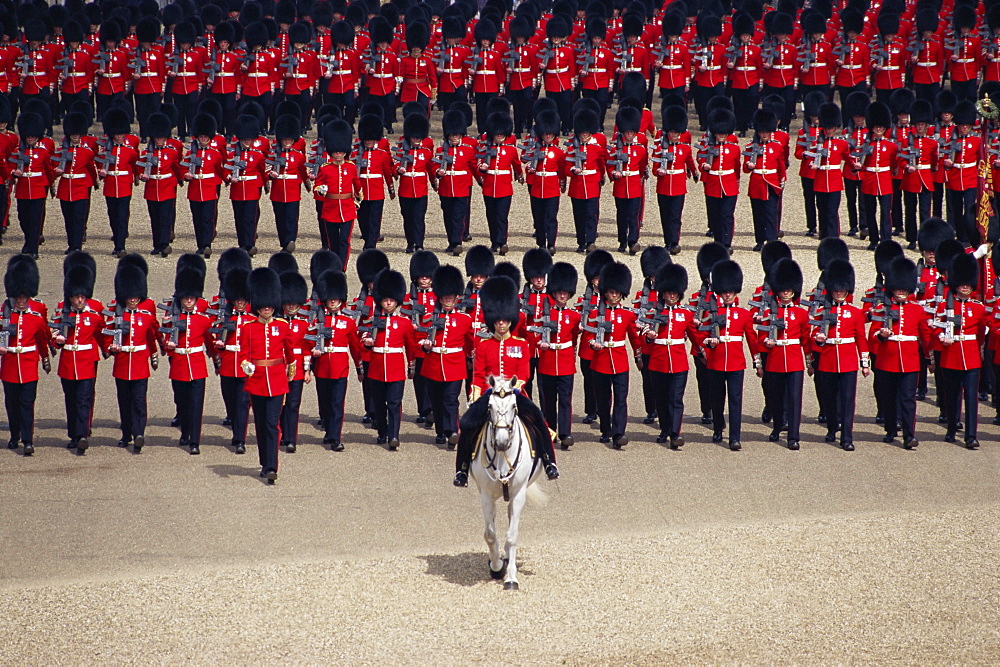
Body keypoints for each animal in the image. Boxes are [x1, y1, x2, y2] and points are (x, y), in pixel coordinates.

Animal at [468, 376, 548, 588]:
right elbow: (489, 534)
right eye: (490, 406)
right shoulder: (486, 495)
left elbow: (512, 536)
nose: (502, 442)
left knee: (512, 521)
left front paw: (511, 577)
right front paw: (496, 567)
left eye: (513, 405)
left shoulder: (519, 494)